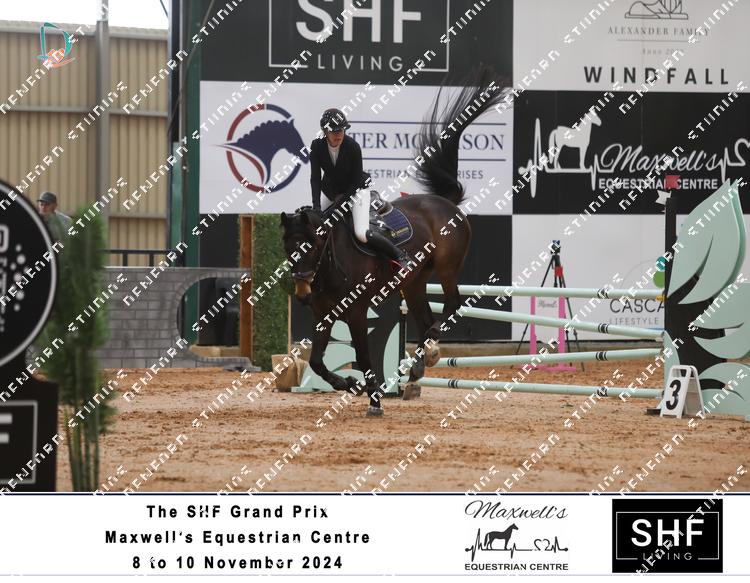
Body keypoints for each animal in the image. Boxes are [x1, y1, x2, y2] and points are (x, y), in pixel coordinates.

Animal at [280, 68, 509, 417]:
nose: (303, 291)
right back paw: (419, 365)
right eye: (287, 248)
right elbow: (318, 362)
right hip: (413, 283)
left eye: (314, 247)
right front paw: (347, 384)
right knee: (425, 316)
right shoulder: (323, 315)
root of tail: (446, 202)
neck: (330, 264)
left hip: (446, 268)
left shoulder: (356, 312)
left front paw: (374, 399)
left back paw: (429, 345)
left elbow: (363, 357)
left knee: (452, 304)